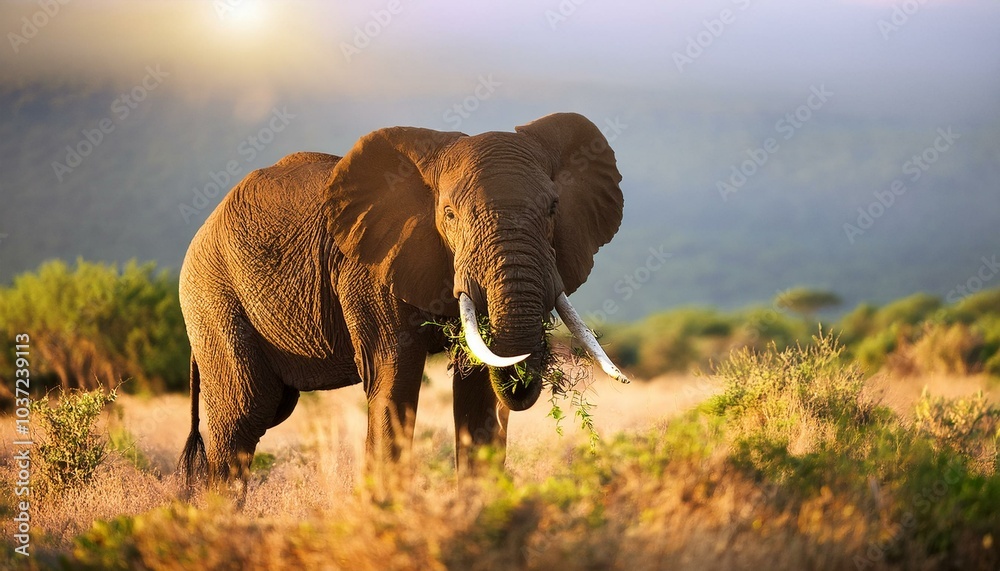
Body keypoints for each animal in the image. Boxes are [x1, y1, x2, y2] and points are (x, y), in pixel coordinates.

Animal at [177, 112, 628, 492]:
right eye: (449, 214)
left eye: (553, 208)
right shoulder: (369, 271)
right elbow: (395, 377)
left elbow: (477, 389)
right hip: (213, 296)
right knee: (243, 418)